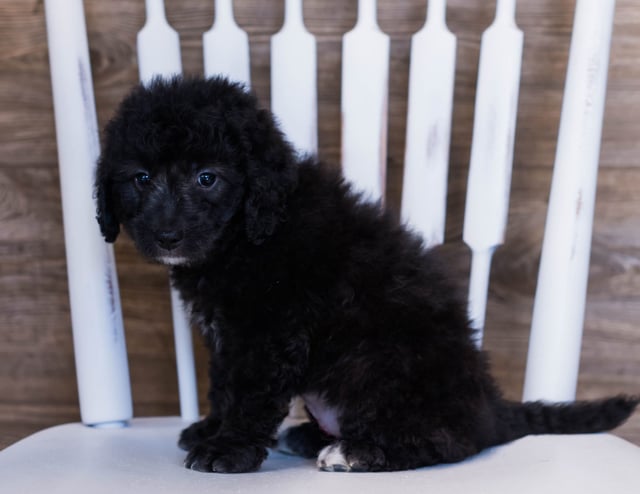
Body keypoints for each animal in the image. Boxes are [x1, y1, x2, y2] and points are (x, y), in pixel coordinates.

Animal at [96, 75, 640, 472]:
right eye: (140, 178)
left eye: (207, 178)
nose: (167, 236)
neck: (247, 234)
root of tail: (490, 405)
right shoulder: (231, 336)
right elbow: (224, 386)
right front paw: (212, 429)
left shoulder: (268, 332)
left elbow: (248, 393)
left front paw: (226, 449)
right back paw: (306, 435)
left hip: (387, 361)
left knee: (449, 440)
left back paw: (355, 452)